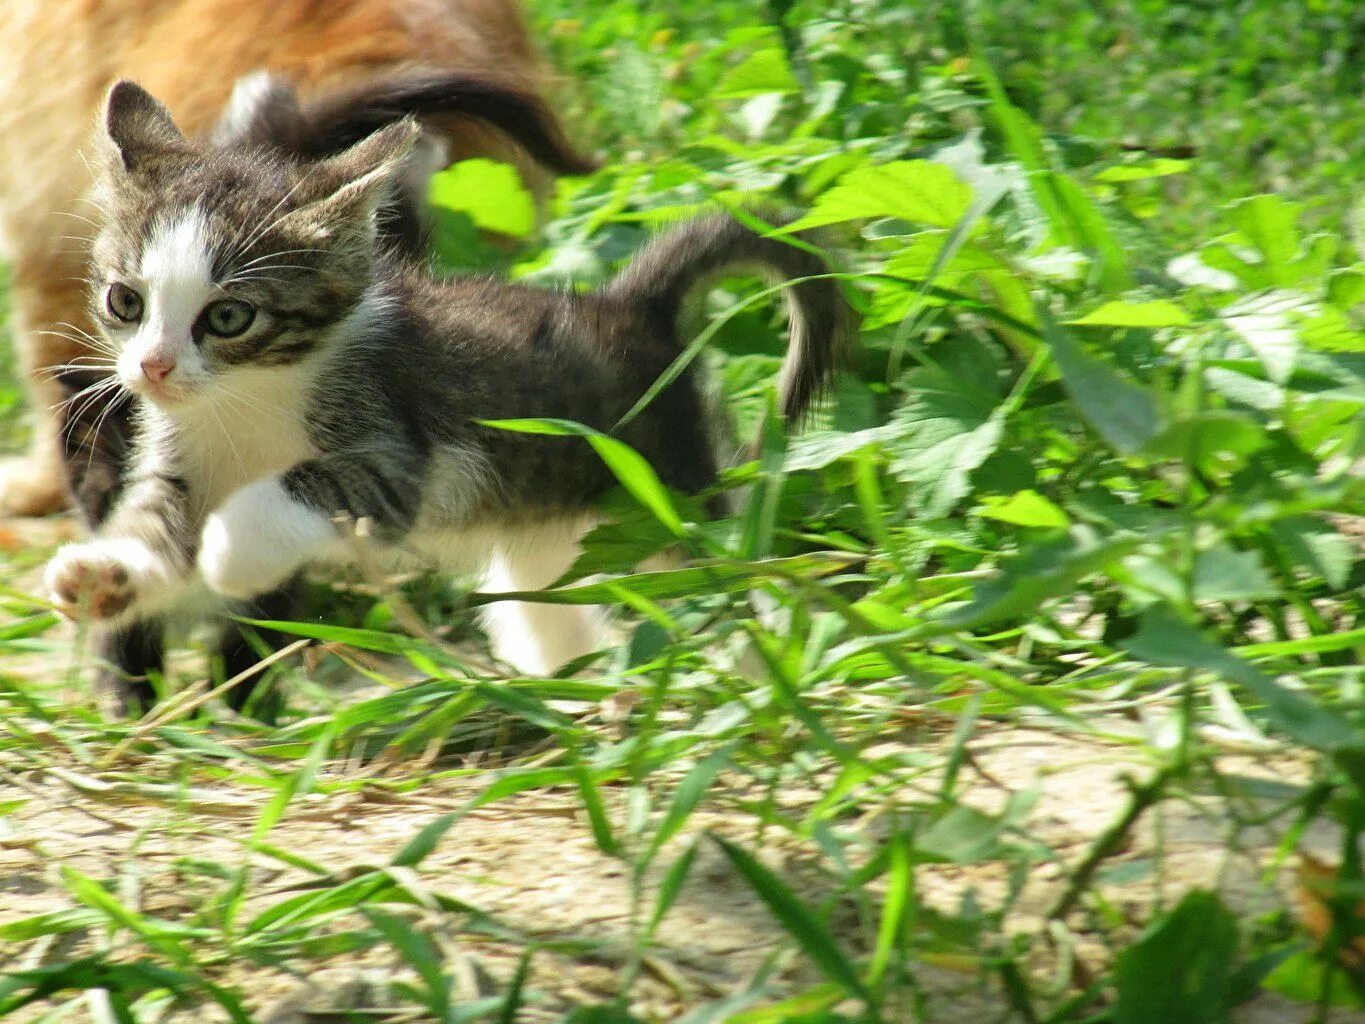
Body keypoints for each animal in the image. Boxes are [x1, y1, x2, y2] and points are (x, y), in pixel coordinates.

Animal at [42, 80, 846, 709]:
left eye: (229, 318)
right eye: (124, 301)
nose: (153, 368)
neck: (245, 402)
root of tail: (626, 307)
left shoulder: (393, 456)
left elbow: (301, 491)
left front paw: (229, 555)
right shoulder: (179, 463)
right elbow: (154, 524)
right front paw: (105, 574)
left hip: (670, 508)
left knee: (728, 592)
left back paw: (766, 683)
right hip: (546, 531)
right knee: (550, 604)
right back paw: (564, 697)